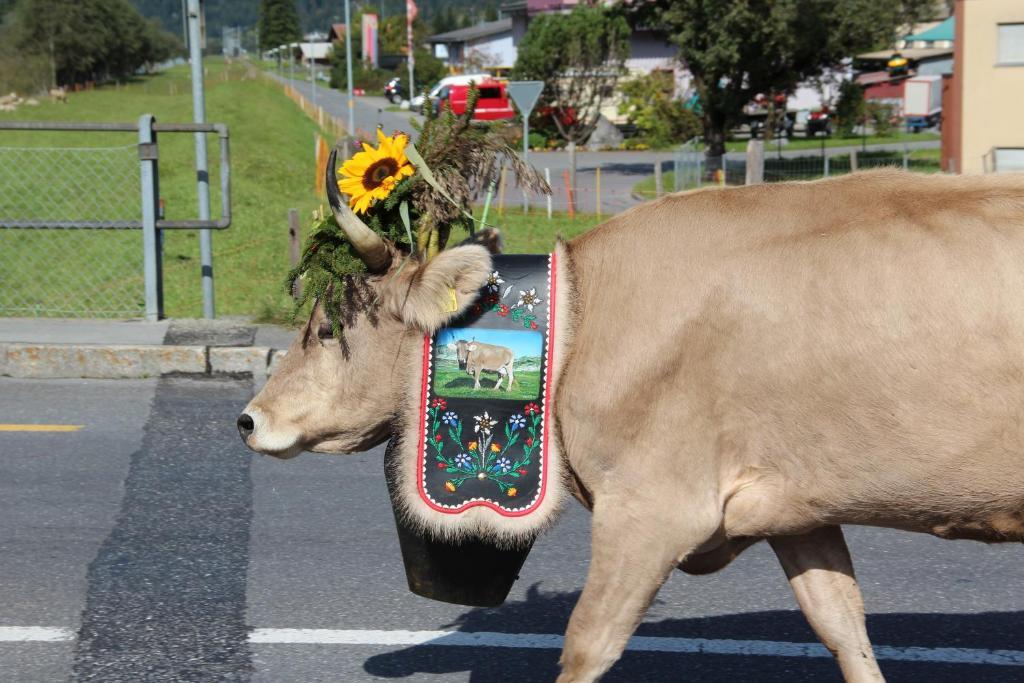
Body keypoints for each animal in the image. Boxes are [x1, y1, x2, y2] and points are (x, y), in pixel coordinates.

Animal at [241, 162, 1024, 679]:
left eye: (331, 327)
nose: (249, 419)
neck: (584, 318)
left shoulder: (653, 506)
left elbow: (587, 641)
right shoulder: (796, 503)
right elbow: (842, 626)